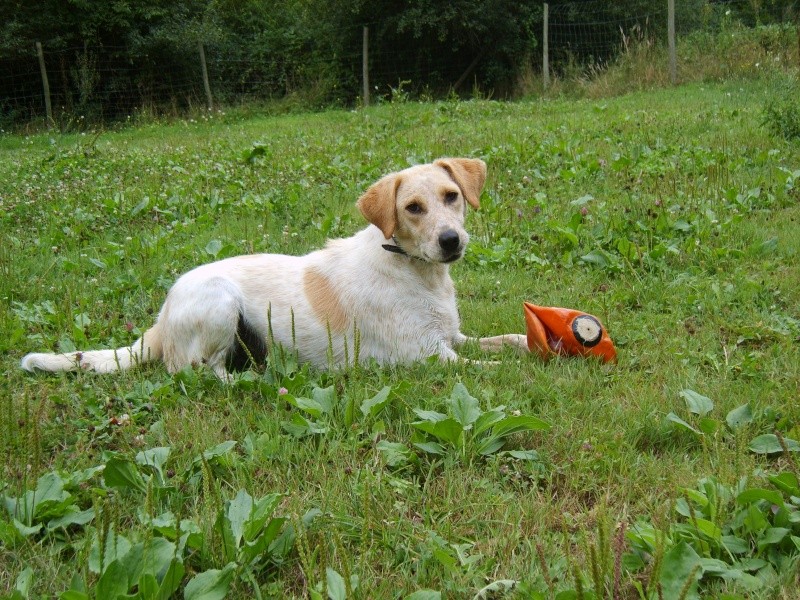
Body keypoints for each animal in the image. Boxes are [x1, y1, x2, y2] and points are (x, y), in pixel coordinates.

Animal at [20, 158, 524, 380]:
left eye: (451, 196)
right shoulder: (429, 357)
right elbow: (498, 369)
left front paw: (529, 341)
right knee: (197, 371)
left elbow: (511, 341)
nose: (451, 241)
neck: (414, 269)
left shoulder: (452, 337)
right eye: (413, 208)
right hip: (220, 303)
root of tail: (161, 319)